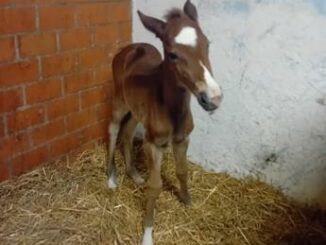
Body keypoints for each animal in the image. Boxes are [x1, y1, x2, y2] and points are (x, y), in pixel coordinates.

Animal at [108, 0, 223, 244]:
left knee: (127, 132)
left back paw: (134, 175)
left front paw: (188, 202)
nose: (213, 98)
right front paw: (147, 233)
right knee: (112, 130)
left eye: (207, 44)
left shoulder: (182, 140)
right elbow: (155, 186)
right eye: (172, 54)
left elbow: (182, 171)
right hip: (119, 101)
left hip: (136, 110)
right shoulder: (154, 144)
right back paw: (111, 178)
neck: (173, 111)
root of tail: (130, 48)